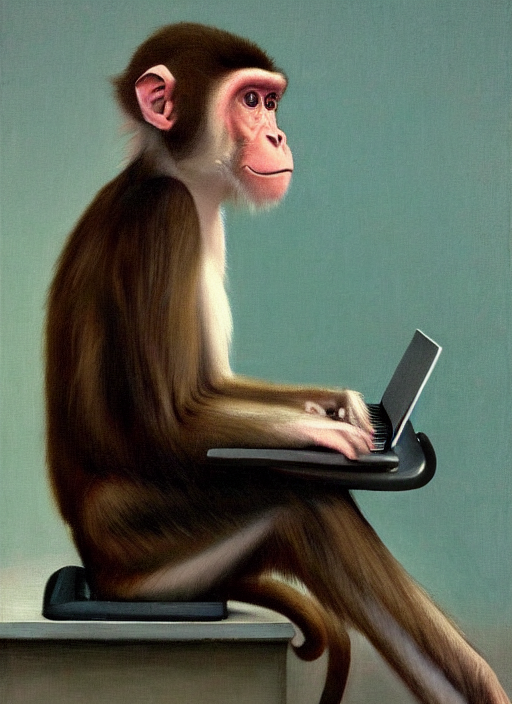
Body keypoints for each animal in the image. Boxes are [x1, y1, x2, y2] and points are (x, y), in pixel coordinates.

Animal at [45, 23, 509, 704]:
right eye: (250, 102)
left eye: (270, 103)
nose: (278, 134)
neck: (170, 173)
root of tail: (96, 575)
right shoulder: (167, 220)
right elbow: (169, 421)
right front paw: (325, 433)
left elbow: (216, 385)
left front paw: (341, 407)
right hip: (150, 554)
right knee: (302, 500)